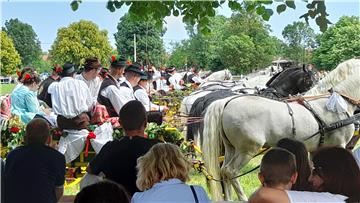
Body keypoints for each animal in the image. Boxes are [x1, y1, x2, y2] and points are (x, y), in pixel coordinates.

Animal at [201, 58, 358, 201]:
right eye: (308, 80)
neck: (331, 105)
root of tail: (226, 102)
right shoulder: (339, 145)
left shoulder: (315, 150)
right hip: (247, 150)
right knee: (231, 171)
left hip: (231, 149)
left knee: (223, 171)